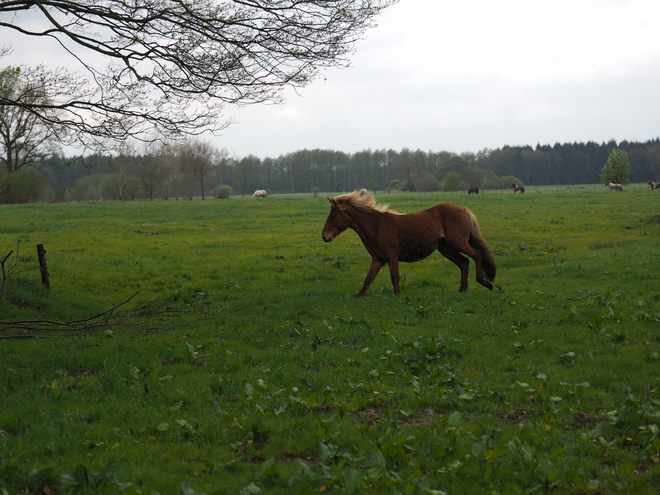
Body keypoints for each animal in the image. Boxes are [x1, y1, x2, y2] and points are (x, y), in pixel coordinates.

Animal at [320, 192, 496, 296]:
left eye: (333, 216)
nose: (324, 237)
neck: (376, 225)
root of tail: (464, 210)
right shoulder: (378, 258)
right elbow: (369, 278)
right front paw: (359, 295)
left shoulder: (391, 256)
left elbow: (395, 277)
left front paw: (397, 296)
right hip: (446, 248)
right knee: (464, 262)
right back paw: (462, 290)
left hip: (458, 243)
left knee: (477, 255)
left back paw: (485, 282)